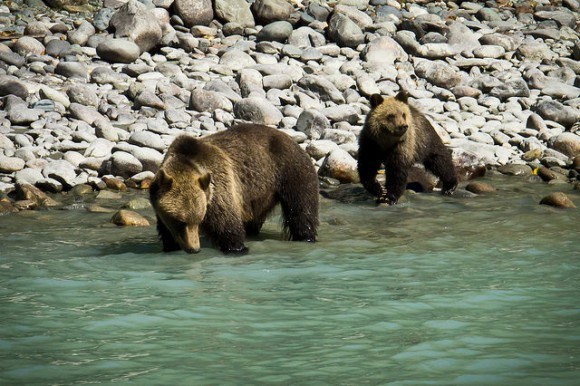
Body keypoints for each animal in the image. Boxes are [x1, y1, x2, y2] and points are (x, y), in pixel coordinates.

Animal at [150, 125, 320, 255]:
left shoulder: (219, 190)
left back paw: (306, 237)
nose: (194, 249)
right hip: (259, 194)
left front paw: (237, 248)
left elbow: (228, 227)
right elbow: (167, 233)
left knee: (301, 211)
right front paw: (171, 246)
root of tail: (291, 139)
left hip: (292, 171)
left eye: (199, 219)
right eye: (180, 221)